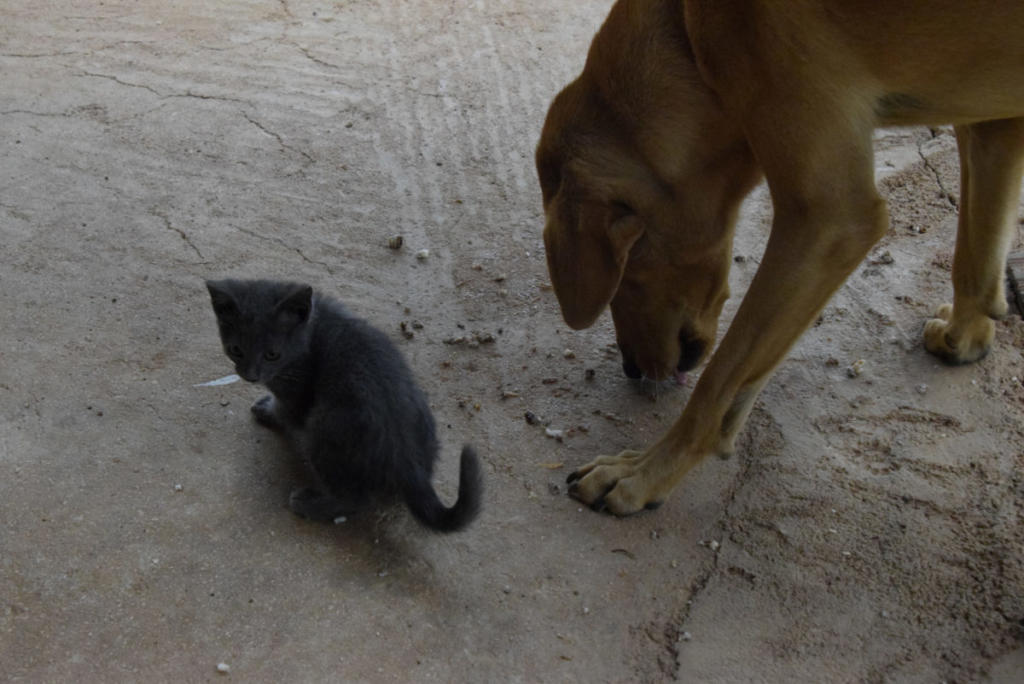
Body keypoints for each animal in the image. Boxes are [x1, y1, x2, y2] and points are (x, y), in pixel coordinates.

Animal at [207, 278, 483, 532]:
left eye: (272, 354)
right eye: (236, 350)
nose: (250, 375)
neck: (310, 330)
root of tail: (410, 463)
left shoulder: (298, 392)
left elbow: (285, 411)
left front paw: (267, 410)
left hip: (324, 426)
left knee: (355, 499)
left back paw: (309, 503)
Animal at [536, 0, 1024, 511]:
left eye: (627, 275)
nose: (631, 370)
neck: (686, 31)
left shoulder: (830, 220)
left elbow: (720, 380)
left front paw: (646, 471)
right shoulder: (995, 120)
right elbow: (975, 258)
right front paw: (966, 336)